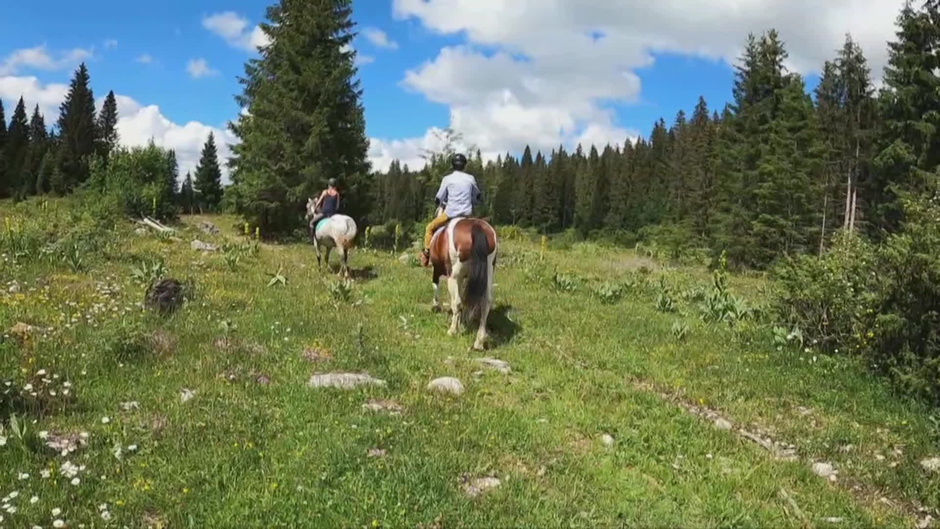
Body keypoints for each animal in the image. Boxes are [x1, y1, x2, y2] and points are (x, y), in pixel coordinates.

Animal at [428, 210, 496, 350]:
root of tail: (476, 227)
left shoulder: (437, 270)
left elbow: (436, 286)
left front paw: (436, 306)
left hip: (453, 276)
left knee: (457, 302)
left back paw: (452, 331)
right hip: (488, 272)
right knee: (485, 303)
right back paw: (479, 342)